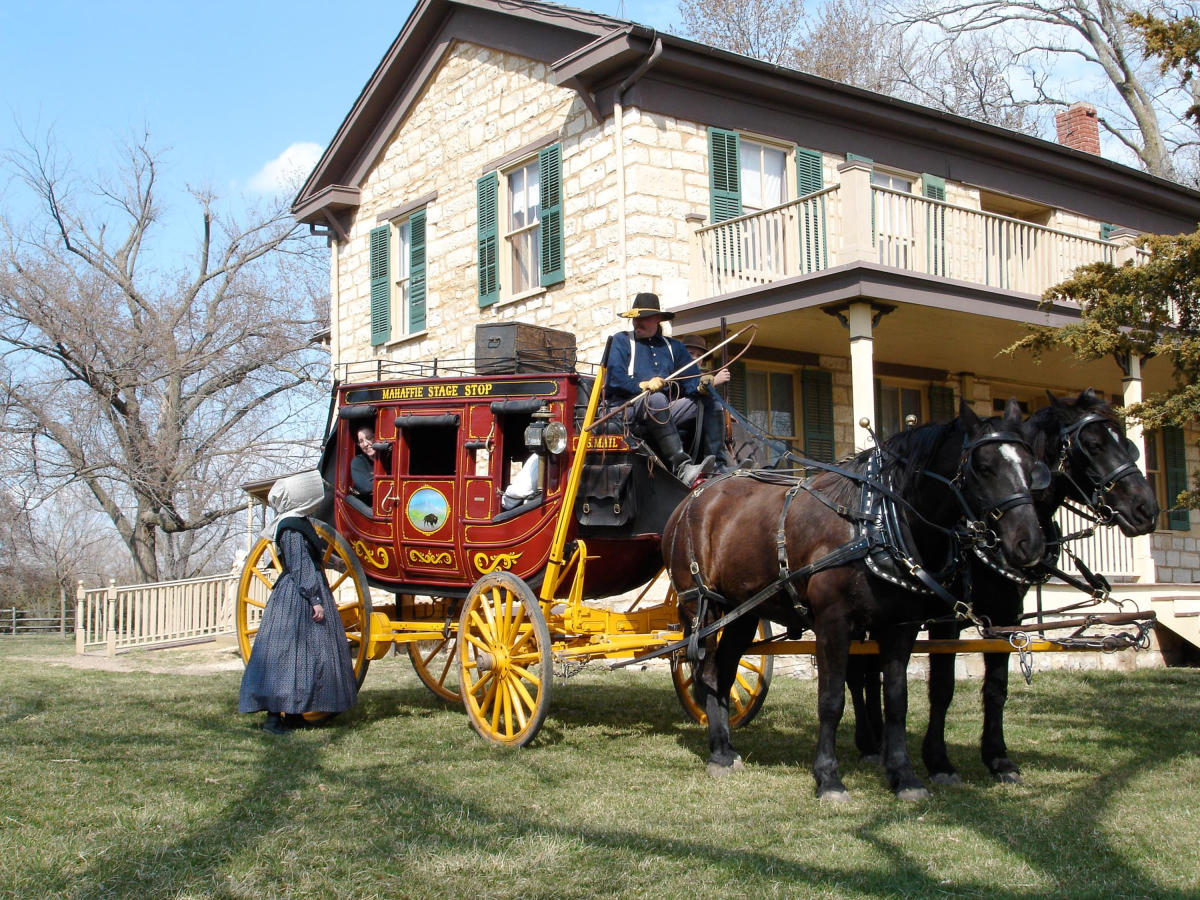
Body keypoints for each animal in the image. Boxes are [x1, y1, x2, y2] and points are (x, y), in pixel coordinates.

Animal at [662, 400, 1046, 801]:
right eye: (983, 467)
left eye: (1030, 465)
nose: (1030, 544)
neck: (875, 520)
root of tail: (695, 497)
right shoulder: (833, 623)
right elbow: (831, 699)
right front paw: (828, 777)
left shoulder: (900, 627)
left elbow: (896, 699)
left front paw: (904, 776)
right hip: (702, 607)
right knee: (704, 673)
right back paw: (718, 752)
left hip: (743, 613)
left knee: (721, 673)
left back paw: (724, 748)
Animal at [849, 391, 1156, 787]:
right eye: (1093, 445)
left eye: (1127, 444)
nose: (1147, 509)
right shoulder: (947, 619)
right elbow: (942, 687)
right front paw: (939, 761)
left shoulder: (1008, 615)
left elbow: (996, 688)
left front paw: (998, 757)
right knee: (859, 674)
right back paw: (870, 743)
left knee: (872, 672)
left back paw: (879, 741)